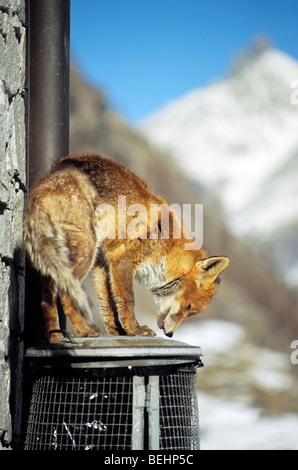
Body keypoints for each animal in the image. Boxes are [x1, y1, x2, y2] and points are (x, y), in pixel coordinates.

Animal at [23, 154, 229, 342]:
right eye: (188, 307)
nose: (170, 335)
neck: (167, 248)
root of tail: (46, 183)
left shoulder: (103, 264)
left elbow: (109, 306)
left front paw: (119, 332)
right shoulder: (122, 261)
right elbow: (128, 302)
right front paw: (134, 330)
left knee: (47, 295)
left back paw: (55, 336)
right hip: (85, 251)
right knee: (64, 292)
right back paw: (84, 331)